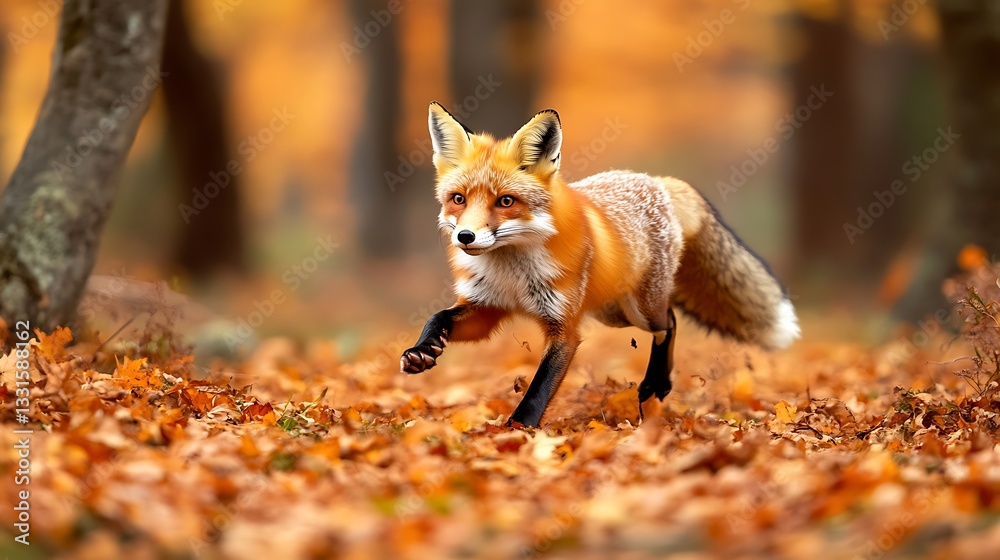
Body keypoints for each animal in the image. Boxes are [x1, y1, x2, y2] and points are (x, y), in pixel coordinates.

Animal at [400, 102, 800, 427]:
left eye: (506, 201)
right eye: (458, 199)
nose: (465, 236)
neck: (511, 271)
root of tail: (656, 181)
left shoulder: (564, 328)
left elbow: (539, 388)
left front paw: (518, 430)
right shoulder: (486, 306)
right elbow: (439, 317)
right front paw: (423, 351)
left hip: (639, 310)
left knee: (669, 322)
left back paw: (657, 383)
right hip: (611, 311)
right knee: (669, 318)